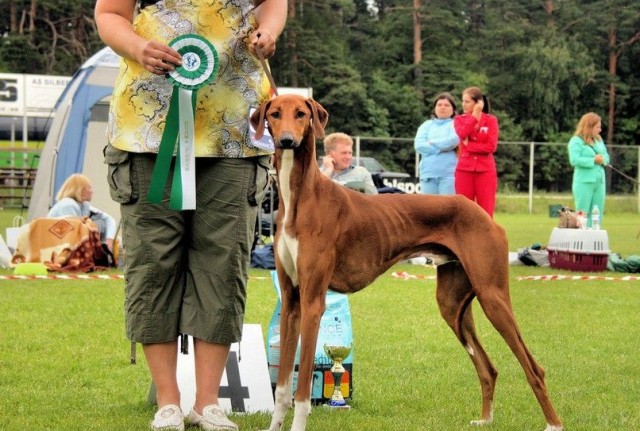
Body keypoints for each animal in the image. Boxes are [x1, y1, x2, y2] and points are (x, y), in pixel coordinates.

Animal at [252, 95, 564, 431]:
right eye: (274, 114)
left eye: (301, 114)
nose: (286, 140)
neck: (302, 198)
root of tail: (482, 213)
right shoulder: (291, 303)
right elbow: (283, 388)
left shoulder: (313, 302)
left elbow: (301, 394)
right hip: (453, 305)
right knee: (488, 367)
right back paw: (485, 419)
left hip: (493, 296)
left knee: (533, 367)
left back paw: (553, 424)